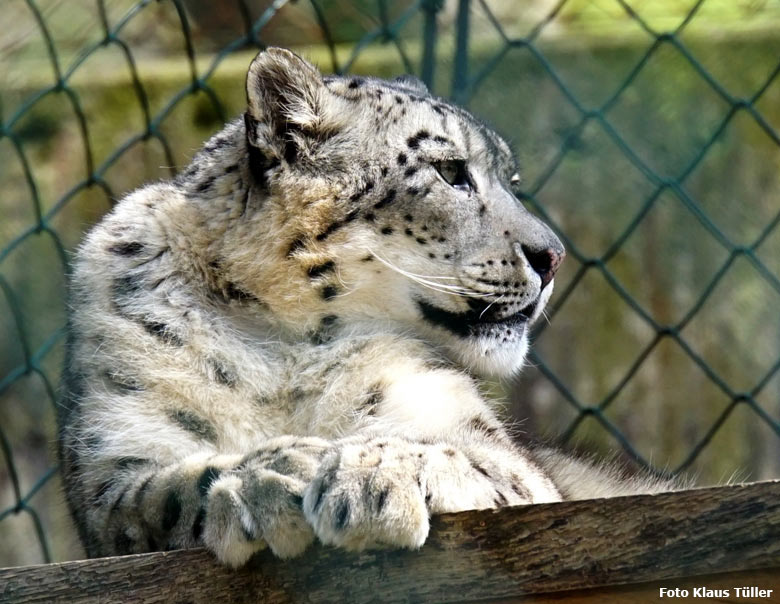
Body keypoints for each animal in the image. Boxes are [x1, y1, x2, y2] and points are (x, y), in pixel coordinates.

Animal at [59, 47, 672, 568]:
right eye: (450, 171)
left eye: (511, 180)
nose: (553, 256)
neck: (281, 344)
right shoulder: (115, 459)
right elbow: (159, 492)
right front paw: (269, 477)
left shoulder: (482, 440)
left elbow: (480, 460)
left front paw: (371, 475)